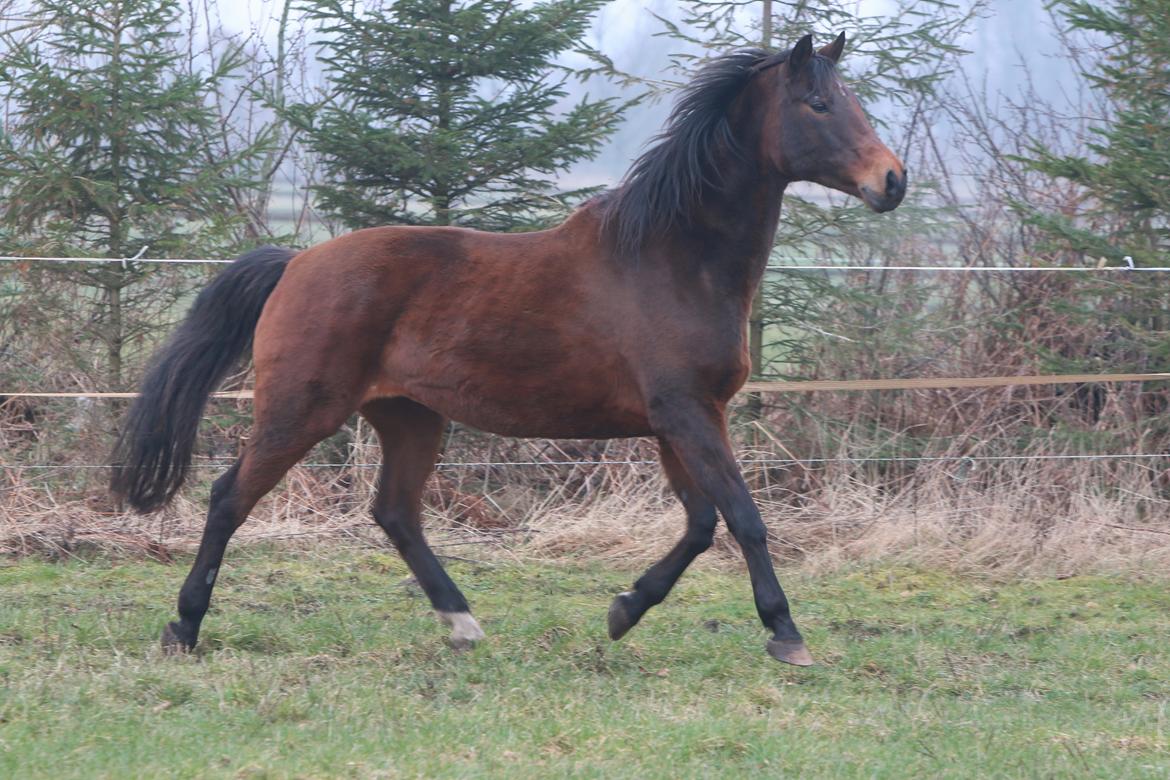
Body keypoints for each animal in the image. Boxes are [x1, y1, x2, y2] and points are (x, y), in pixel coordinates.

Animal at [111, 35, 903, 664]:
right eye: (818, 104)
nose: (891, 181)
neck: (674, 258)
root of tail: (295, 263)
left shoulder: (681, 420)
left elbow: (702, 525)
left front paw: (624, 611)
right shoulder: (687, 413)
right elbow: (743, 517)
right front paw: (785, 634)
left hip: (409, 416)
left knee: (395, 512)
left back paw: (462, 622)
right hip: (301, 410)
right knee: (229, 498)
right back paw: (184, 629)